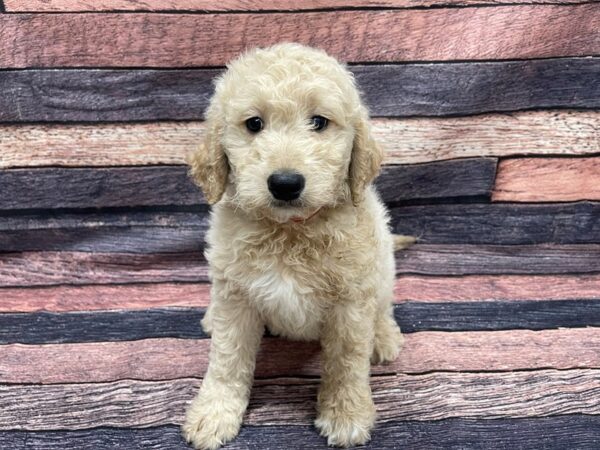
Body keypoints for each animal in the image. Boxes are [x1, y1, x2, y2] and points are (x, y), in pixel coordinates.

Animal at [183, 43, 408, 450]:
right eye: (254, 124)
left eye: (319, 122)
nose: (285, 183)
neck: (289, 232)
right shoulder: (235, 296)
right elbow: (227, 359)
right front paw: (214, 413)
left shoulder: (351, 302)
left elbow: (347, 363)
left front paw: (346, 414)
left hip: (382, 266)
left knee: (383, 305)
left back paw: (383, 337)